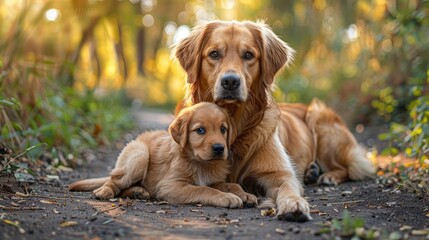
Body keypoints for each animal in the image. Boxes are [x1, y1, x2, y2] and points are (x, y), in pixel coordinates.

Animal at [70, 102, 256, 208]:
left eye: (223, 129)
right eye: (200, 130)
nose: (219, 148)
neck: (200, 163)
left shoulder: (214, 180)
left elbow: (231, 185)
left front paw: (244, 194)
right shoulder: (169, 186)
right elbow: (203, 189)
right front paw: (227, 197)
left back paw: (138, 192)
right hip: (139, 154)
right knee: (114, 181)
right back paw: (104, 191)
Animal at [174, 20, 374, 221]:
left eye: (248, 55)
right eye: (214, 54)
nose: (230, 81)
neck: (236, 123)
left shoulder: (279, 173)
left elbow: (287, 186)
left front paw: (294, 204)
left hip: (320, 120)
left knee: (349, 167)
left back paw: (328, 176)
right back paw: (312, 172)